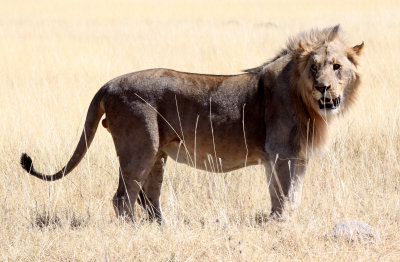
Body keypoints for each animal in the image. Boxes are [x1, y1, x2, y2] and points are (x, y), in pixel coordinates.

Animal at [18, 24, 364, 222]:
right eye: (314, 68)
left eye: (336, 67)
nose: (324, 87)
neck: (306, 101)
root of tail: (110, 84)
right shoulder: (280, 153)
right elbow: (283, 194)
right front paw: (280, 224)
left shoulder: (296, 157)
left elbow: (293, 193)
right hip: (140, 148)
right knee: (123, 198)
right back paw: (134, 231)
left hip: (156, 155)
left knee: (148, 197)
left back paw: (163, 227)